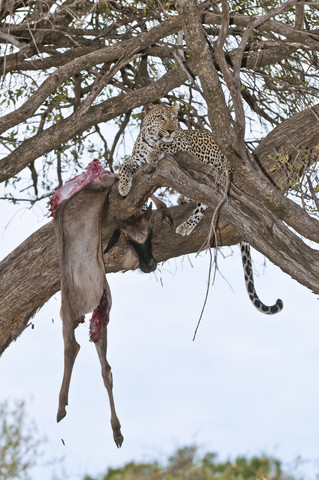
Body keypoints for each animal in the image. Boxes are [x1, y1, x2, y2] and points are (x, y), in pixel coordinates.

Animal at [119, 103, 284, 316]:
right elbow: (125, 165)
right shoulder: (136, 161)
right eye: (161, 117)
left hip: (214, 175)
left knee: (204, 202)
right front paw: (123, 186)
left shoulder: (184, 146)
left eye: (174, 118)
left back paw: (186, 225)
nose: (171, 129)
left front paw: (156, 152)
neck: (151, 139)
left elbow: (166, 145)